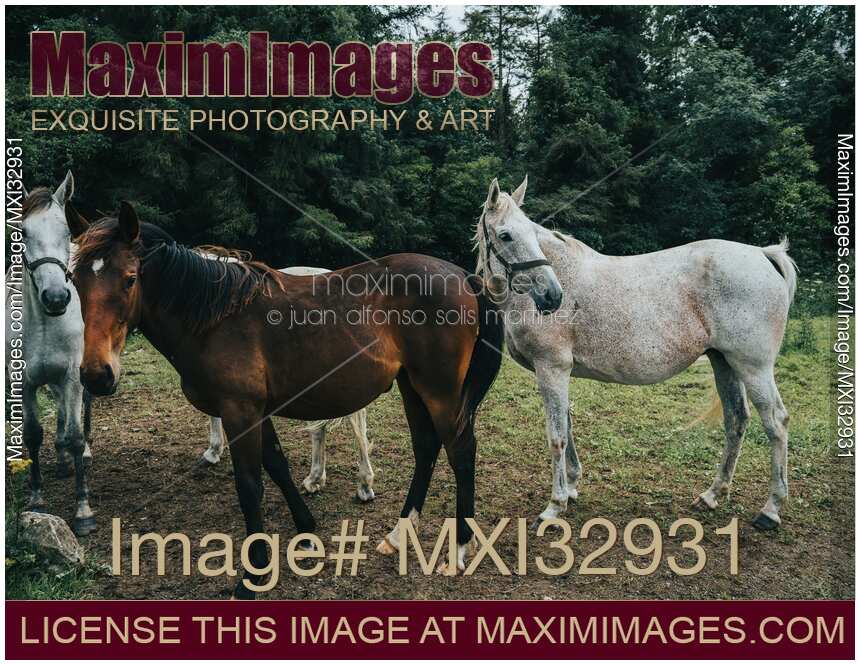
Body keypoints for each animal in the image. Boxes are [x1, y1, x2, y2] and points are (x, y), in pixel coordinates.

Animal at [475, 176, 796, 530]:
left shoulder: (552, 368)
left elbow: (557, 436)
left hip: (753, 368)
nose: (552, 296)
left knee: (776, 423)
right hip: (724, 363)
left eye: (532, 233)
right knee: (736, 419)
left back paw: (770, 509)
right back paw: (712, 495)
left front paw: (555, 506)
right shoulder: (560, 373)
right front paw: (571, 488)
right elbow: (568, 426)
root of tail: (763, 254)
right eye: (506, 235)